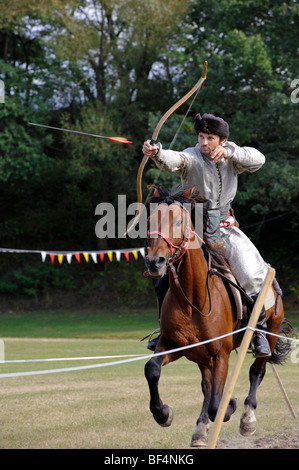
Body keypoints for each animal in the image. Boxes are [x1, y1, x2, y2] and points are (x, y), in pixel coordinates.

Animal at [145, 185, 292, 448]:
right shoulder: (173, 345)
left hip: (270, 333)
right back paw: (201, 431)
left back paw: (247, 418)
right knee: (207, 386)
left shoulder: (220, 354)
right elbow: (152, 369)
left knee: (257, 370)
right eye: (150, 220)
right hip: (201, 356)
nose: (155, 262)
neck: (193, 300)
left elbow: (217, 404)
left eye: (180, 221)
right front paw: (163, 414)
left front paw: (230, 406)